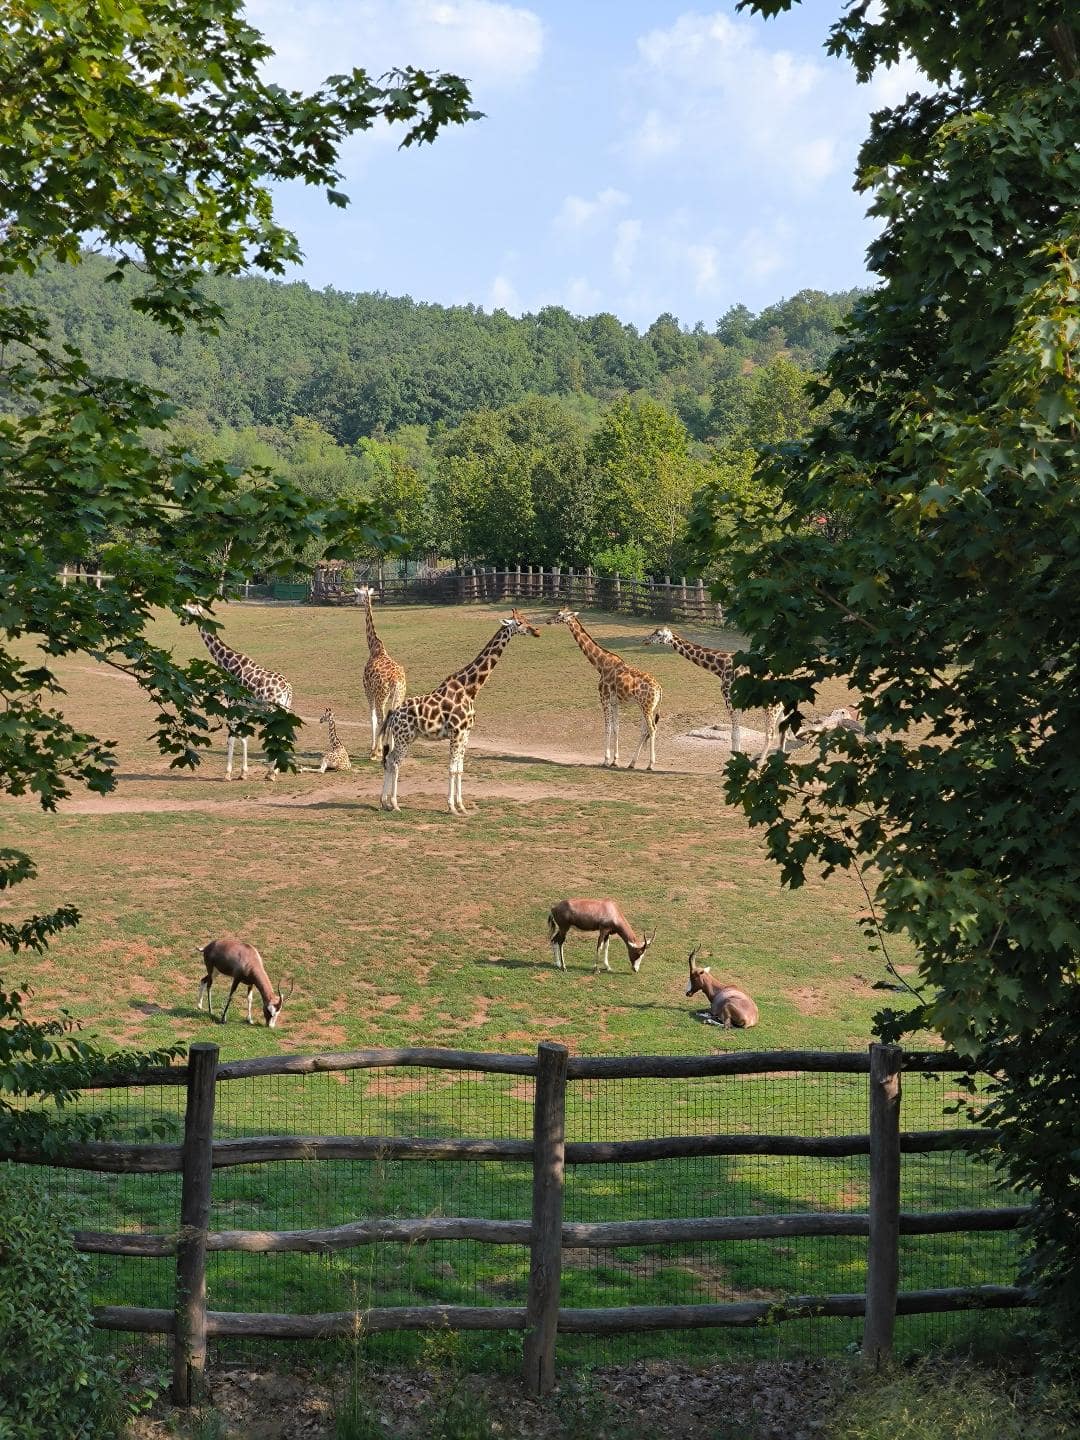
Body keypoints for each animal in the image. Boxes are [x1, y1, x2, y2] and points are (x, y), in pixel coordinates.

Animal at [185, 604, 293, 783]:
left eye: (187, 609)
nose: (181, 620)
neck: (228, 663)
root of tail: (288, 690)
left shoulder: (232, 705)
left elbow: (232, 738)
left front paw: (228, 773)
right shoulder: (244, 709)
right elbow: (244, 738)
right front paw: (243, 773)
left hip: (273, 711)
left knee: (276, 736)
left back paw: (271, 773)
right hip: (285, 709)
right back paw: (273, 771)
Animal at [355, 587, 408, 766]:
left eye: (357, 594)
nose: (355, 601)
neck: (374, 648)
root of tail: (396, 681)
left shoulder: (368, 690)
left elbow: (371, 717)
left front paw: (374, 750)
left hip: (381, 696)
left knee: (381, 717)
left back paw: (377, 752)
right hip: (398, 695)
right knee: (392, 718)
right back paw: (391, 750)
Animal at [377, 604, 541, 812]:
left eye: (527, 619)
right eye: (519, 623)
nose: (536, 631)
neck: (471, 688)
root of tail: (393, 713)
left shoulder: (466, 733)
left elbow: (460, 769)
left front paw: (461, 806)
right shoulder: (456, 732)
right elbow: (451, 768)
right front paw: (451, 807)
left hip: (409, 737)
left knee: (389, 760)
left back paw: (384, 802)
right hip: (403, 737)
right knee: (394, 762)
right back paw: (394, 804)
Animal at [552, 607, 665, 771]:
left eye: (559, 614)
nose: (548, 620)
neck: (600, 664)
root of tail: (660, 689)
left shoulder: (603, 697)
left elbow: (607, 727)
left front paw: (606, 760)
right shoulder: (615, 702)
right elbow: (616, 727)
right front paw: (615, 760)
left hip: (646, 706)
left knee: (652, 729)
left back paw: (650, 764)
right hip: (646, 707)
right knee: (644, 730)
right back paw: (632, 763)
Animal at [648, 627, 789, 766]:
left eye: (658, 634)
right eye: (654, 632)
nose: (646, 640)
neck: (720, 667)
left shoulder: (730, 699)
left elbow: (734, 734)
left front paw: (734, 761)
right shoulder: (737, 703)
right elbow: (737, 733)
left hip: (771, 706)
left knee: (770, 735)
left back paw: (760, 765)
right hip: (781, 707)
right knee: (783, 729)